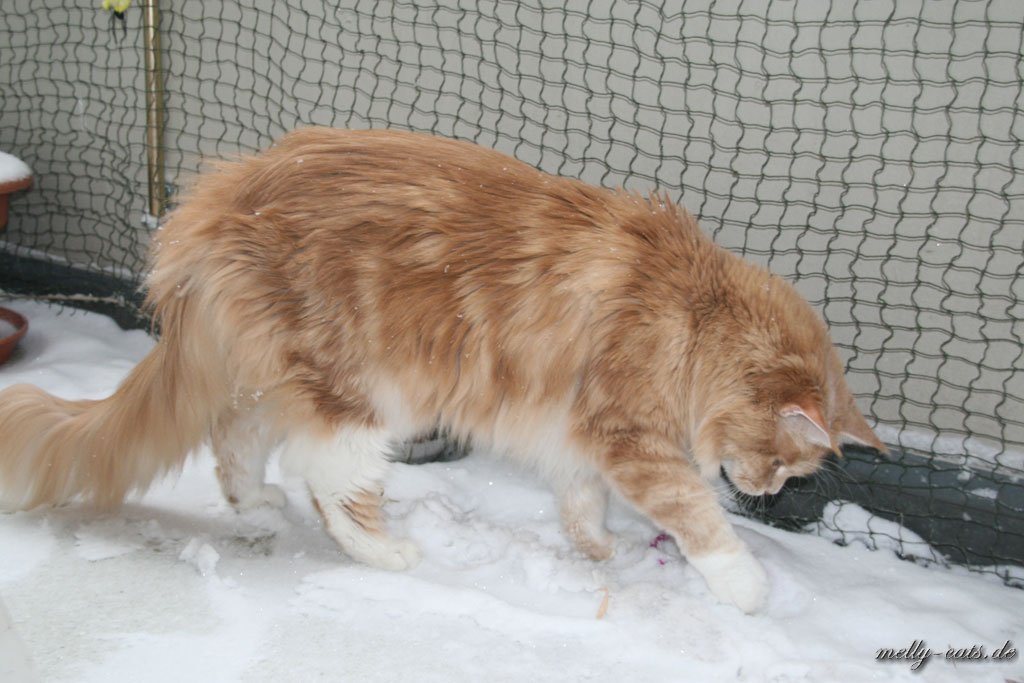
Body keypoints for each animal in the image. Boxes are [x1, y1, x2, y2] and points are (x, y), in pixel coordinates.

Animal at [0, 128, 885, 613]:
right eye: (783, 461)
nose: (768, 491)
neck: (696, 314)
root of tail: (220, 196)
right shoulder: (631, 436)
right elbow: (698, 519)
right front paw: (748, 589)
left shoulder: (583, 435)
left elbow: (582, 502)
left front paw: (599, 552)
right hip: (361, 392)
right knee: (331, 481)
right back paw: (385, 553)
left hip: (273, 375)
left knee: (237, 444)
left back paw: (253, 506)